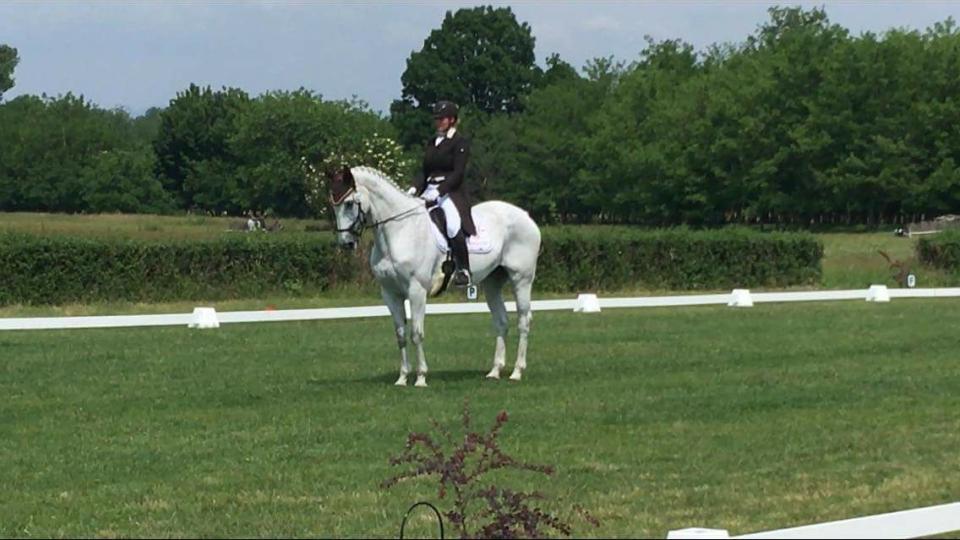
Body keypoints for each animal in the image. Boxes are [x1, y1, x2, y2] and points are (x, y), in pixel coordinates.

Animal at [327, 166, 541, 387]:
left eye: (349, 203)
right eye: (332, 204)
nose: (346, 243)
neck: (400, 230)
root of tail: (525, 216)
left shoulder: (417, 290)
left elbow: (416, 334)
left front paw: (421, 378)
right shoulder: (390, 293)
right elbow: (401, 335)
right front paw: (402, 378)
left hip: (521, 279)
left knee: (524, 321)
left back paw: (517, 372)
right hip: (492, 283)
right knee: (501, 321)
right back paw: (495, 371)